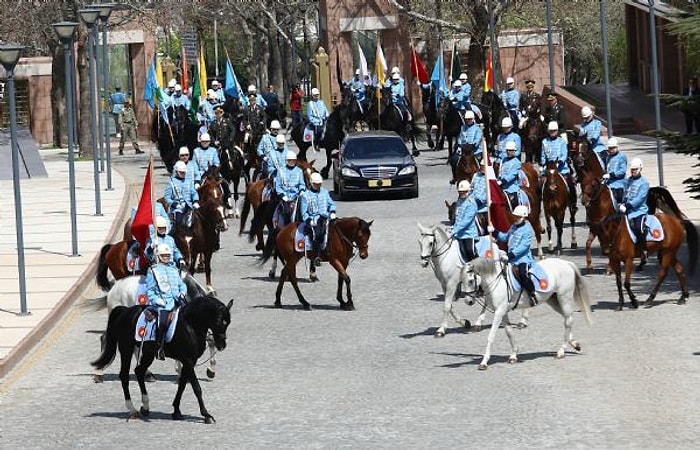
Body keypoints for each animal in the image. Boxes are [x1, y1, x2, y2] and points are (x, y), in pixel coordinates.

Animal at [87, 272, 219, 382]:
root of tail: (114, 288)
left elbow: (209, 341)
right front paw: (181, 371)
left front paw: (210, 370)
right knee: (106, 338)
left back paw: (146, 374)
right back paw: (99, 373)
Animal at [91, 296, 234, 426]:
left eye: (228, 322)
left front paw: (176, 411)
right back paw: (133, 409)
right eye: (219, 321)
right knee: (124, 376)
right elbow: (196, 388)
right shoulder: (188, 361)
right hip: (126, 349)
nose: (221, 345)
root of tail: (124, 311)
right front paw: (206, 415)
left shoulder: (189, 361)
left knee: (139, 371)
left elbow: (182, 385)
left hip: (148, 354)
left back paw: (145, 406)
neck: (190, 325)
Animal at [464, 256, 592, 370]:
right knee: (567, 318)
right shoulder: (502, 312)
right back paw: (574, 344)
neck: (497, 282)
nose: (468, 301)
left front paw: (484, 362)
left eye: (471, 281)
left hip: (564, 297)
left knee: (568, 321)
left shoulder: (499, 312)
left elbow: (491, 336)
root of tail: (566, 263)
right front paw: (513, 356)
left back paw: (561, 352)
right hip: (553, 300)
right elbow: (509, 332)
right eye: (462, 281)